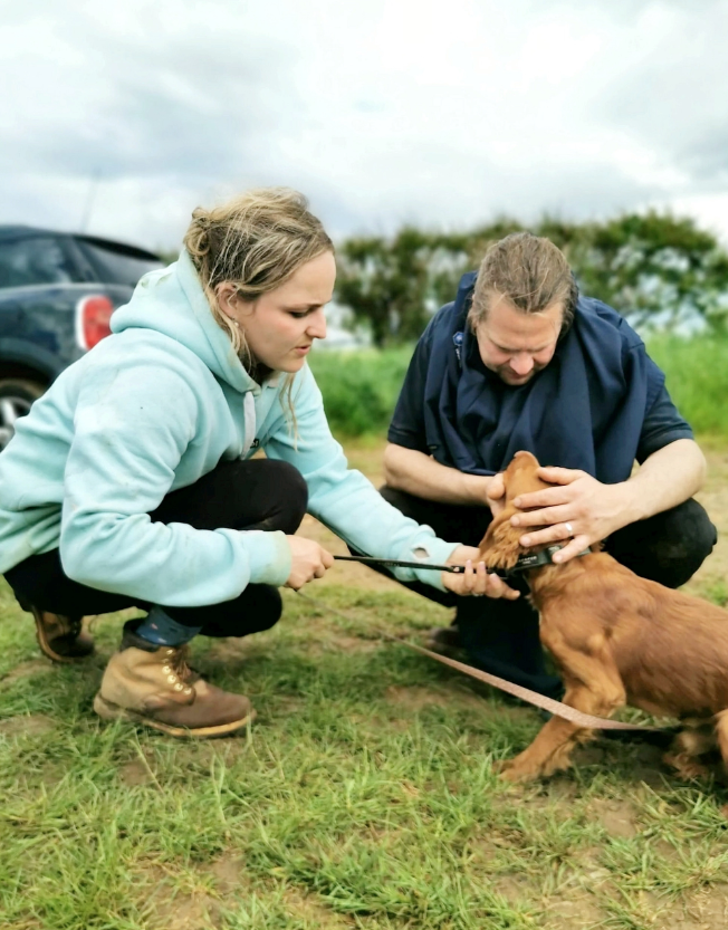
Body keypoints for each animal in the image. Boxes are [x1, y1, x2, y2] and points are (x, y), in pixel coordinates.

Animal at [480, 450, 728, 784]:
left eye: (536, 474)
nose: (521, 453)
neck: (567, 565)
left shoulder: (598, 690)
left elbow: (552, 730)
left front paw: (516, 771)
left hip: (725, 724)